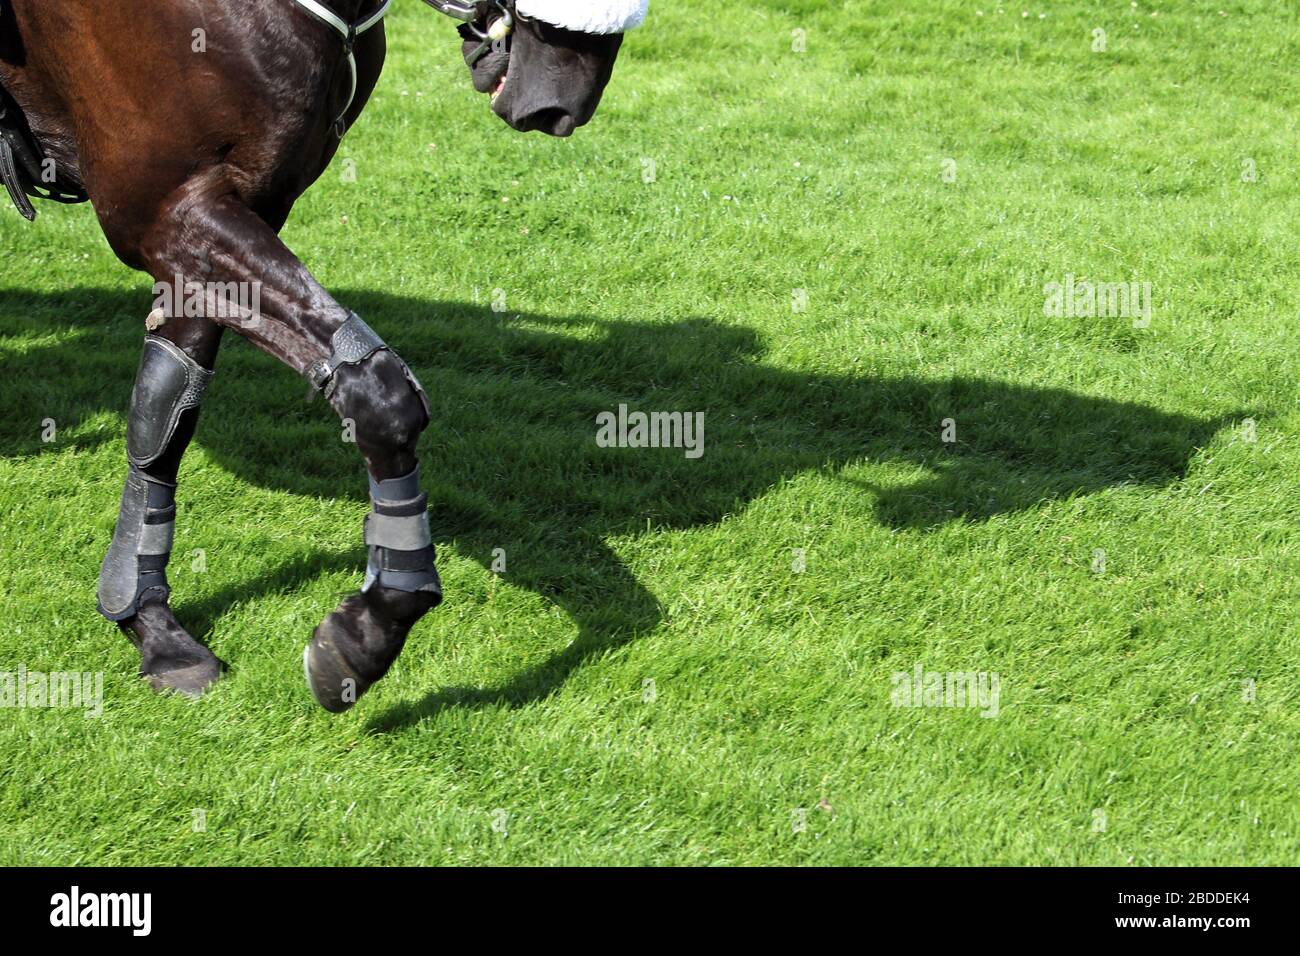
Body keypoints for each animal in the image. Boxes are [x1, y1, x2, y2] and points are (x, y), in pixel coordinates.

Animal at [0, 0, 650, 712]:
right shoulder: (163, 208)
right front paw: (372, 627)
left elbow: (167, 408)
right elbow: (382, 395)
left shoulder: (222, 216)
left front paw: (149, 621)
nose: (564, 101)